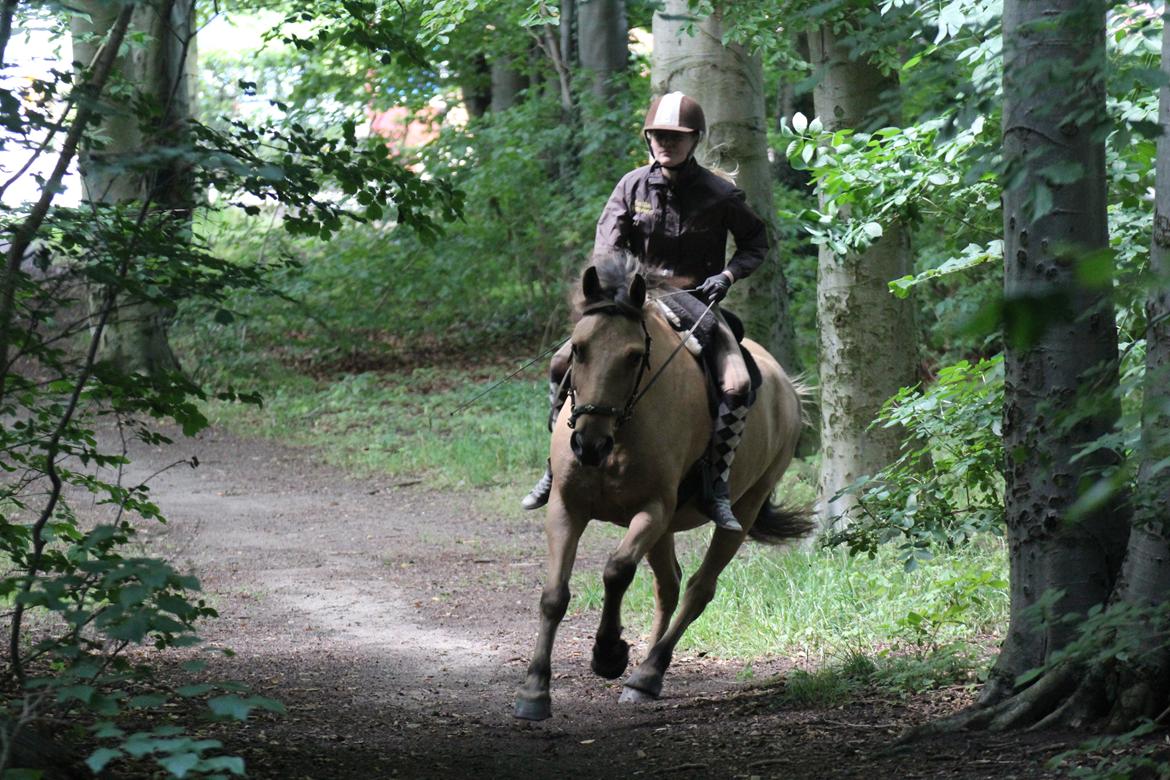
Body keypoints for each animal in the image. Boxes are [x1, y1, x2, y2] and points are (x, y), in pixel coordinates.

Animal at [514, 254, 814, 720]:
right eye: (578, 349)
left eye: (634, 356)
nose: (589, 444)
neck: (620, 432)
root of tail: (789, 389)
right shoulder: (566, 507)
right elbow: (554, 596)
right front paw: (535, 689)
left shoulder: (651, 510)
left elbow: (617, 571)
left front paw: (609, 652)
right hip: (666, 528)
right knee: (669, 586)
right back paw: (643, 673)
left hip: (742, 510)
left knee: (698, 589)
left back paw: (648, 673)